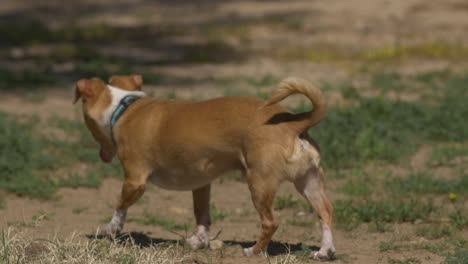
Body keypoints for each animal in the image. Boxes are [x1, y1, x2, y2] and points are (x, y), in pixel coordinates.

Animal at [73, 74, 334, 260]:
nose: (102, 156)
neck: (125, 107)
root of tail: (295, 123)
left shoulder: (134, 181)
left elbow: (120, 207)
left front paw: (110, 229)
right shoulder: (201, 183)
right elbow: (202, 214)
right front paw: (199, 242)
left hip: (259, 183)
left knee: (271, 222)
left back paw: (253, 251)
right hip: (309, 182)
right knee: (325, 213)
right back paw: (325, 251)